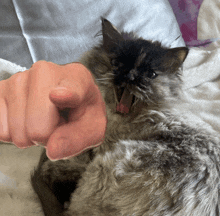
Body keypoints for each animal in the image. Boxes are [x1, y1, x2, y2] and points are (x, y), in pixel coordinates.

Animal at [31, 18, 220, 216]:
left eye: (150, 74)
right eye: (116, 64)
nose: (130, 76)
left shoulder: (95, 150)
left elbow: (65, 161)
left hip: (105, 166)